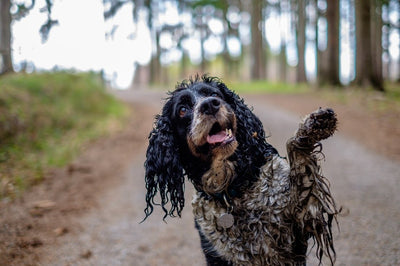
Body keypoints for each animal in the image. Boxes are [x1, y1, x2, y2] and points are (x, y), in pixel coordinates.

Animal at [143, 76, 338, 264]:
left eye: (215, 94)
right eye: (182, 109)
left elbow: (298, 158)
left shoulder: (304, 219)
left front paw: (313, 125)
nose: (210, 104)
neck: (233, 187)